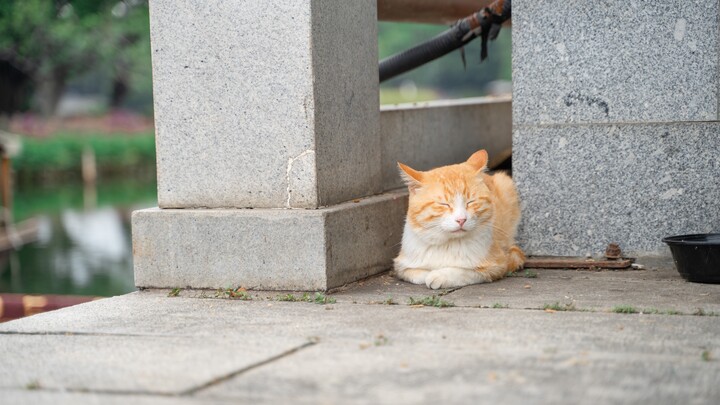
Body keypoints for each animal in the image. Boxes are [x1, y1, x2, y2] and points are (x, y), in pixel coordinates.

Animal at [394, 150, 524, 288]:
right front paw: (429, 273)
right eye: (444, 204)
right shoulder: (402, 266)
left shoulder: (496, 265)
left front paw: (439, 275)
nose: (461, 219)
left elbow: (463, 272)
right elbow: (418, 274)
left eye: (470, 202)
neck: (447, 244)